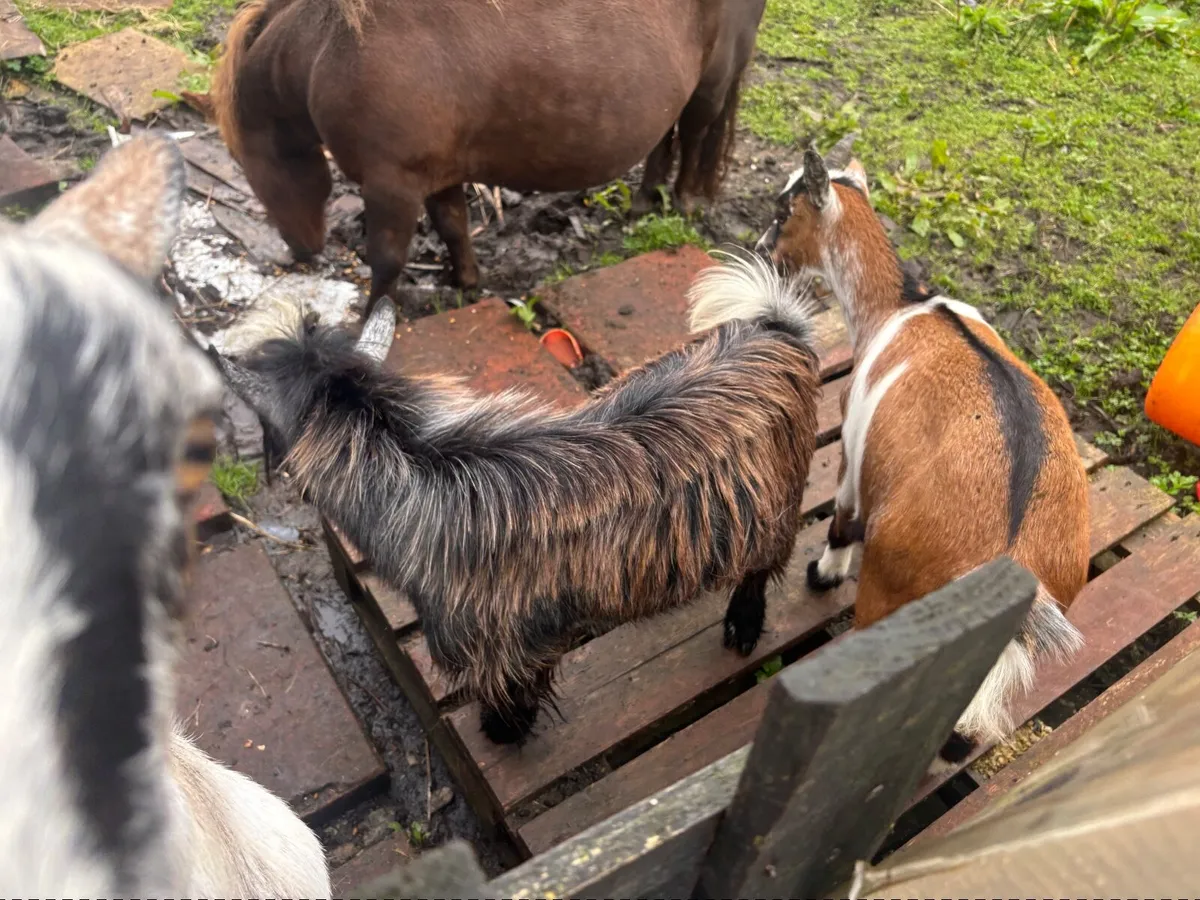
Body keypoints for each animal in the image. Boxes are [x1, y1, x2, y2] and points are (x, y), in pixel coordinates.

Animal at [209, 252, 822, 745]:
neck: (420, 477)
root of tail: (777, 328)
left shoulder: (504, 648)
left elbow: (511, 690)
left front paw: (502, 733)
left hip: (778, 496)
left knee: (764, 564)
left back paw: (743, 627)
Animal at [756, 145, 1089, 768]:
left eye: (783, 210)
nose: (764, 252)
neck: (898, 306)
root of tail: (1012, 562)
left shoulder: (852, 440)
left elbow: (841, 520)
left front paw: (822, 576)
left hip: (891, 593)